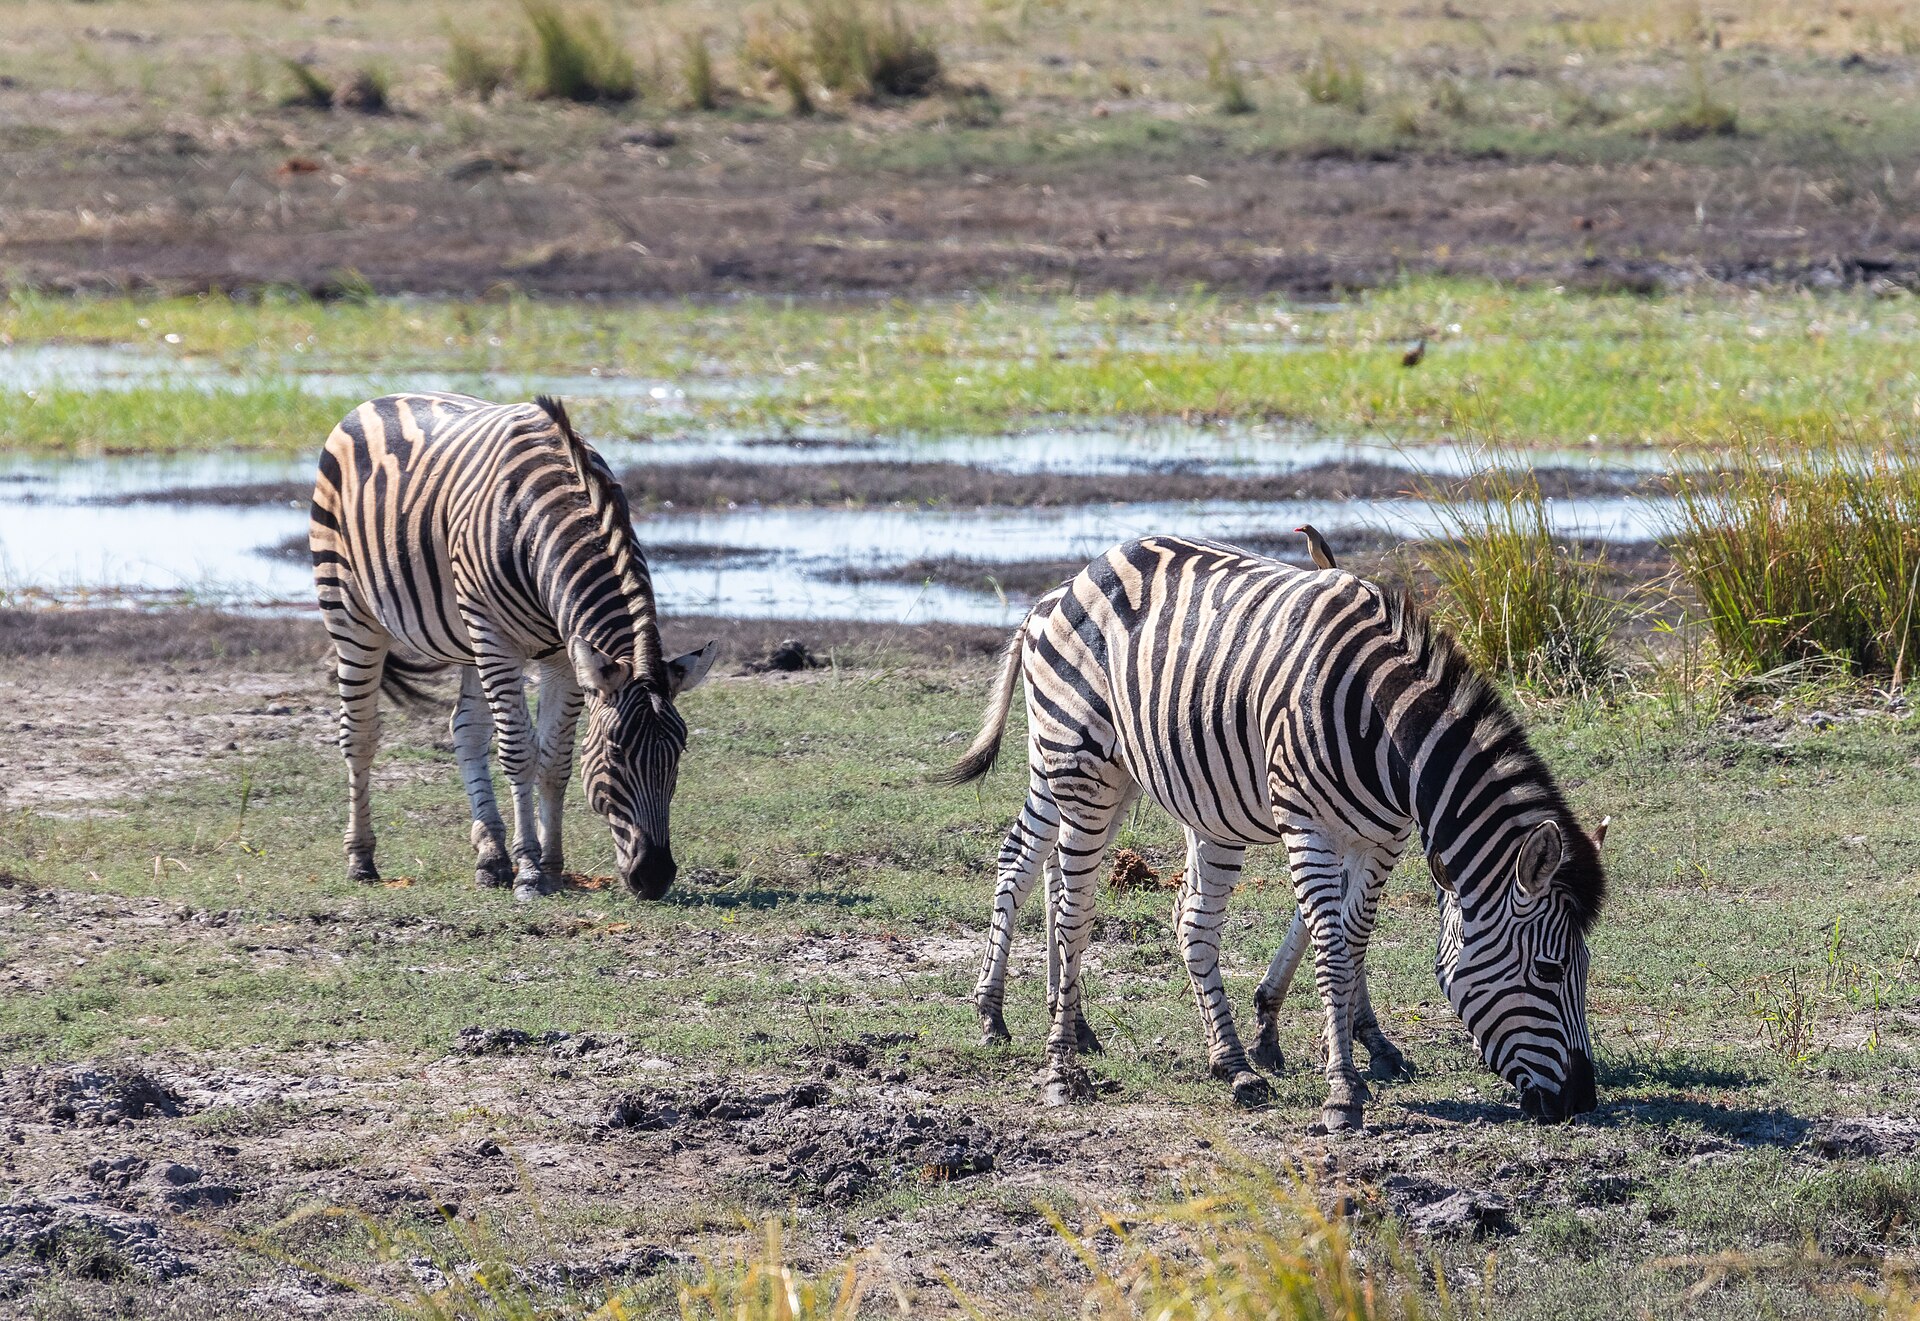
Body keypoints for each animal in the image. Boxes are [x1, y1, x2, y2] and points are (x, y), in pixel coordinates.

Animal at [310, 392, 716, 903]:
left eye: (679, 751)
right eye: (617, 752)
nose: (656, 877)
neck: (546, 520)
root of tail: (375, 400)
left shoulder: (565, 653)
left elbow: (555, 759)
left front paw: (552, 866)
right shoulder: (498, 639)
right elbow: (519, 751)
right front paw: (529, 872)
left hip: (466, 633)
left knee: (465, 728)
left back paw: (491, 856)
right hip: (352, 611)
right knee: (359, 735)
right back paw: (362, 859)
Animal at [946, 535, 1607, 1131]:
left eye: (1585, 966)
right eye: (1550, 971)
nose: (1580, 1100)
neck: (1385, 729)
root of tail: (1068, 584)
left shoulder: (1380, 840)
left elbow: (1352, 940)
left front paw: (1350, 1047)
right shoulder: (1305, 822)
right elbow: (1331, 948)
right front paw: (1343, 1091)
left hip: (1139, 777)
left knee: (1129, 900)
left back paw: (1220, 1061)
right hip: (1072, 763)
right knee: (1056, 893)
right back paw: (1043, 1052)